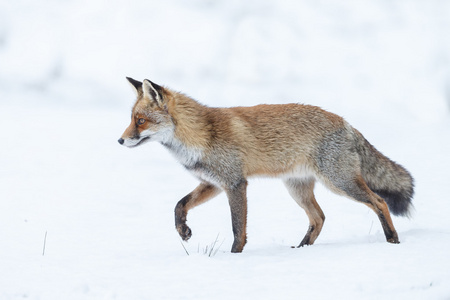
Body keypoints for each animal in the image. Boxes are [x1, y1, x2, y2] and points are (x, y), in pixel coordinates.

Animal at [118, 77, 414, 253]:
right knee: (318, 218)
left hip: (340, 182)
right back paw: (301, 249)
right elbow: (179, 204)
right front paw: (183, 230)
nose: (120, 140)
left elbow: (238, 228)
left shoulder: (235, 183)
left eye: (140, 121)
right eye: (132, 119)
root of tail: (347, 123)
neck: (201, 134)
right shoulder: (213, 183)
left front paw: (234, 257)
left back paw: (392, 239)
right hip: (297, 189)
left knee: (379, 202)